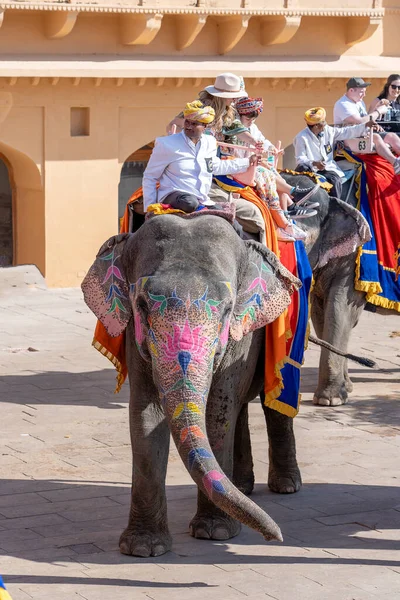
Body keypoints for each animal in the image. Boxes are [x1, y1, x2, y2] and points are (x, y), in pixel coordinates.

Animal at [83, 214, 304, 556]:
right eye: (142, 305)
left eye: (227, 309)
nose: (275, 537)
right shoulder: (135, 334)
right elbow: (146, 412)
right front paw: (143, 548)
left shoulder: (240, 335)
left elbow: (217, 408)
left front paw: (216, 532)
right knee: (240, 407)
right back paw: (242, 487)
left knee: (270, 402)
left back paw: (286, 486)